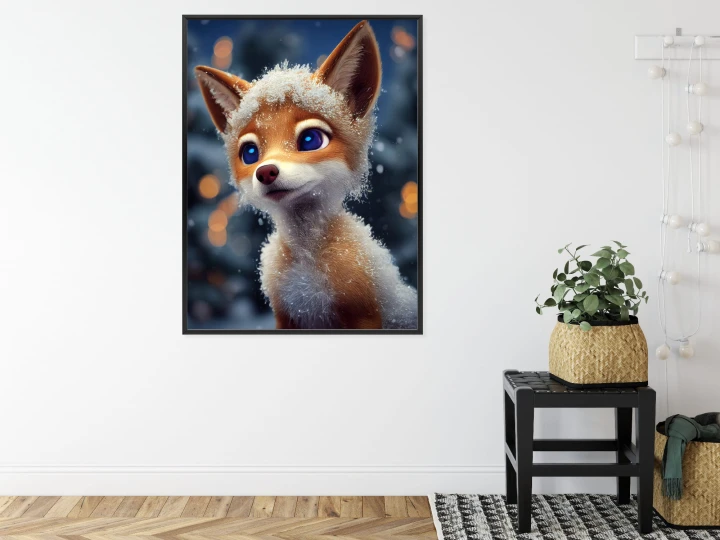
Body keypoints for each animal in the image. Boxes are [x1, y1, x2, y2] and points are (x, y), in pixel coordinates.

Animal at [195, 20, 418, 330]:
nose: (266, 172)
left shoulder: (362, 312)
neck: (307, 266)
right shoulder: (287, 315)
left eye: (311, 140)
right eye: (250, 153)